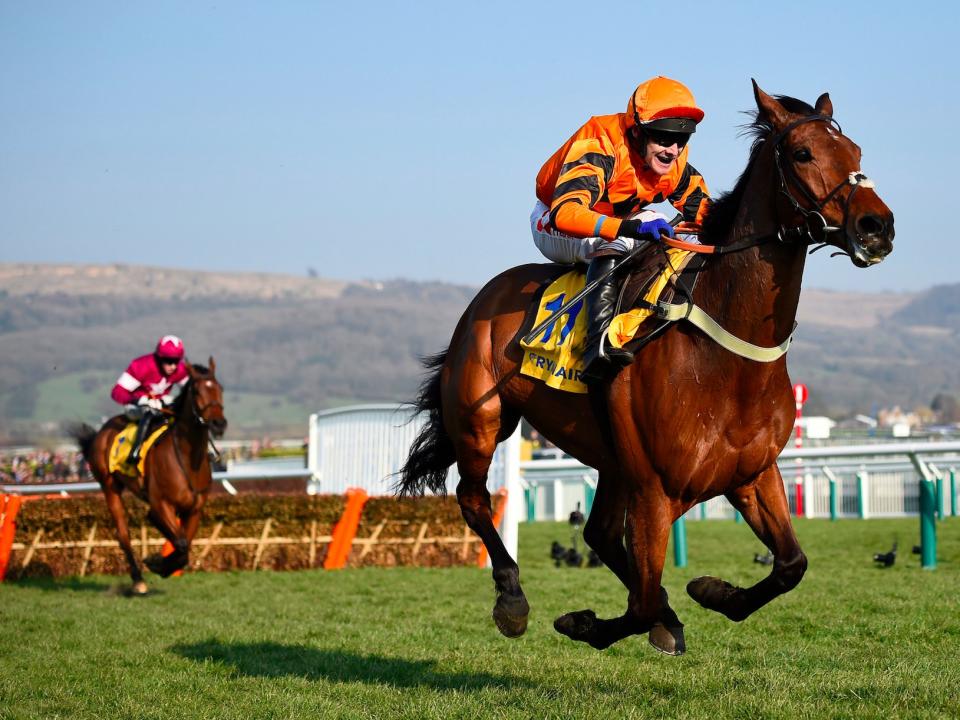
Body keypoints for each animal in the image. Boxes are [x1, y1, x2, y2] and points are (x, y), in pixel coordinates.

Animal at [73, 358, 227, 592]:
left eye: (220, 389)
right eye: (197, 391)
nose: (219, 423)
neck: (187, 460)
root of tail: (101, 432)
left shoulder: (194, 509)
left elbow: (185, 546)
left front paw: (163, 565)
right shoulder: (161, 504)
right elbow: (181, 543)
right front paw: (157, 563)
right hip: (109, 487)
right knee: (123, 534)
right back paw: (138, 580)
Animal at [398, 81, 892, 656]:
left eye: (856, 152)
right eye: (802, 153)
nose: (877, 226)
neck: (727, 356)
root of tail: (482, 300)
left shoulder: (753, 475)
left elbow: (791, 564)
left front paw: (711, 591)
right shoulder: (656, 492)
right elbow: (637, 604)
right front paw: (587, 623)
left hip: (612, 458)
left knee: (600, 536)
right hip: (481, 420)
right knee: (475, 499)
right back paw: (512, 599)